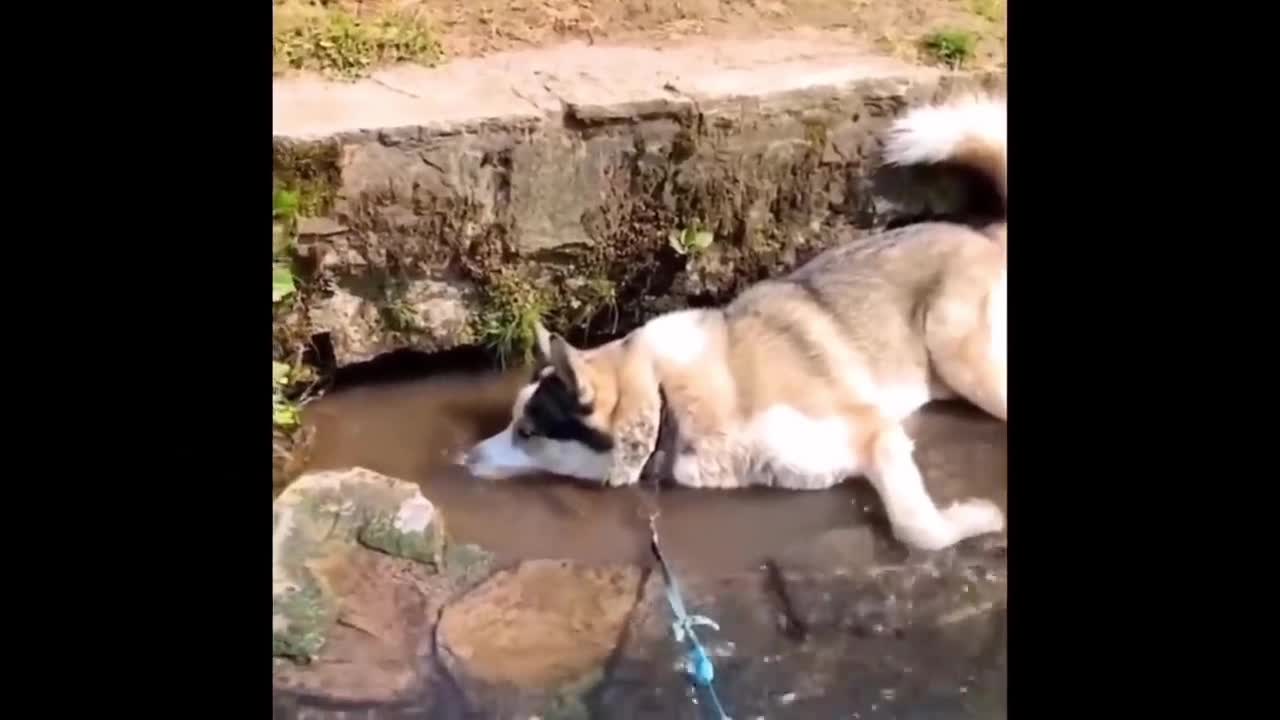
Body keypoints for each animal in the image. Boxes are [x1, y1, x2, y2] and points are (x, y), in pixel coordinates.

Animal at [460, 90, 1008, 548]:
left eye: (527, 433)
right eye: (510, 422)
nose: (461, 460)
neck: (666, 403)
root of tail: (987, 234)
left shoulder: (877, 433)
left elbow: (918, 529)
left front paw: (977, 518)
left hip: (963, 359)